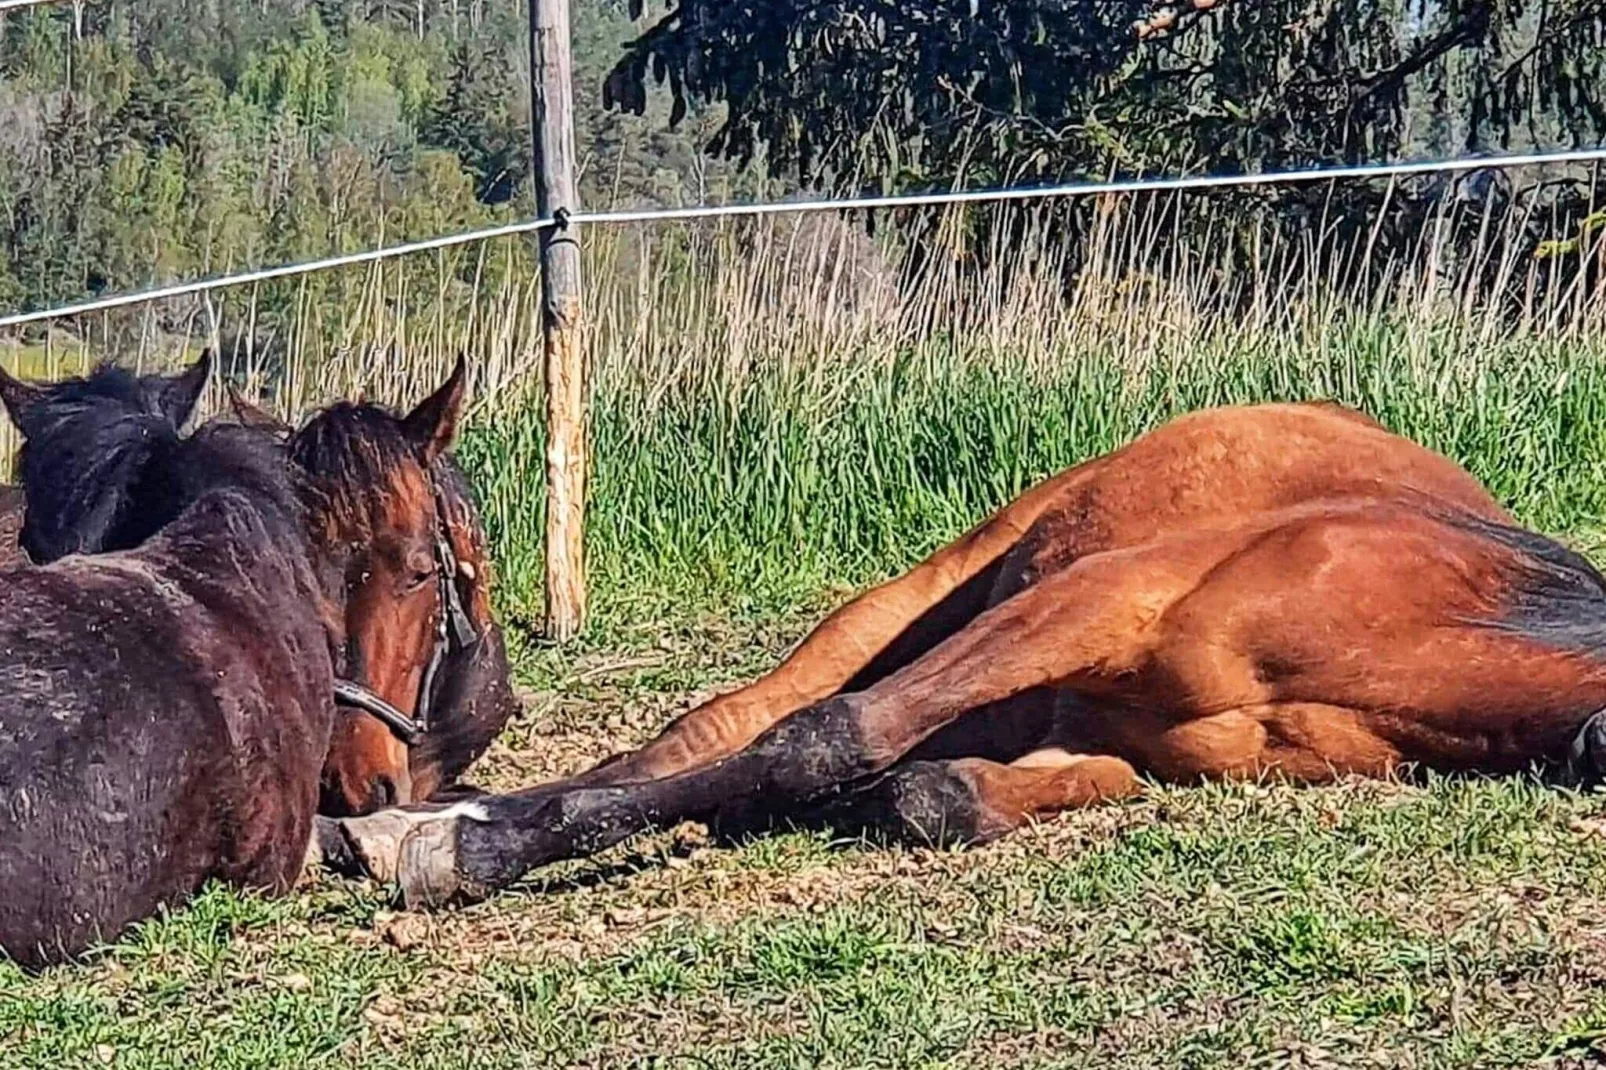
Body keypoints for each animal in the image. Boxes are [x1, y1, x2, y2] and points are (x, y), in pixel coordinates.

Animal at [335, 404, 1606, 906]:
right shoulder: (1101, 604)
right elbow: (826, 737)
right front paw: (468, 849)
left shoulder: (1109, 740)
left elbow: (936, 793)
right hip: (934, 591)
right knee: (724, 721)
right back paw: (426, 826)